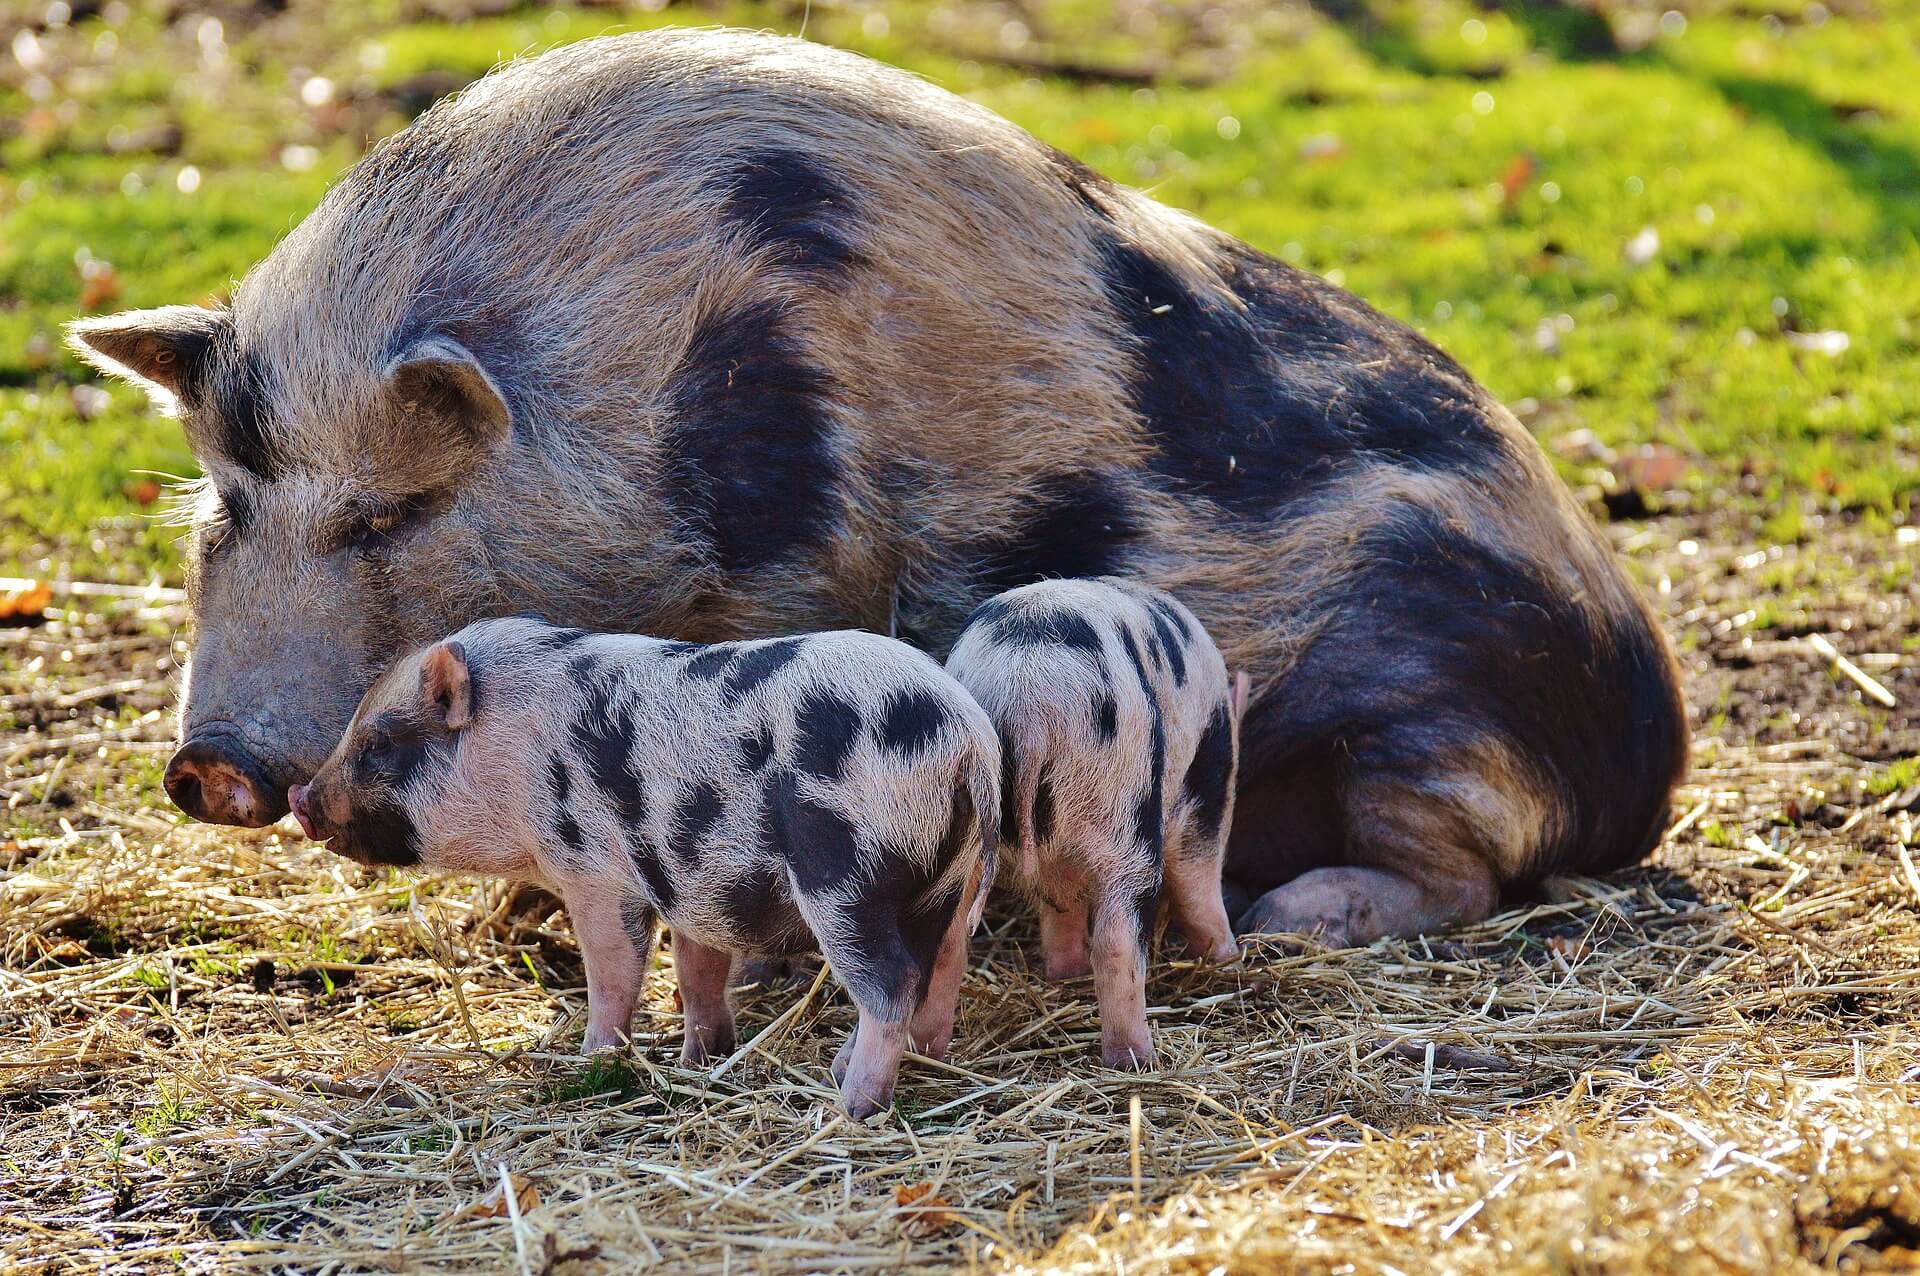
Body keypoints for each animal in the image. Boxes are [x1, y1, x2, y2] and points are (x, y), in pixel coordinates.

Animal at [67, 27, 1689, 944]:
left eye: (391, 513)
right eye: (224, 508)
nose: (211, 765)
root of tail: (1655, 751)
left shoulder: (803, 572)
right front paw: (530, 913)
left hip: (1442, 721)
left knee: (1468, 873)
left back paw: (1299, 919)